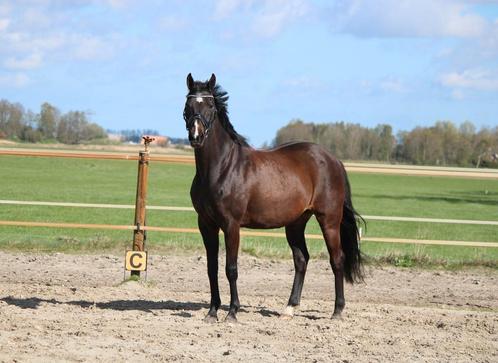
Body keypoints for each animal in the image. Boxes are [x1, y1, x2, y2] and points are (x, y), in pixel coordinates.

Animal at [183, 72, 362, 322]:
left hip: (329, 220)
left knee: (337, 260)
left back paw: (337, 311)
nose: (196, 136)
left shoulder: (231, 225)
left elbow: (231, 268)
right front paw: (212, 311)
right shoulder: (206, 224)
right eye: (188, 106)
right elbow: (212, 268)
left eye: (210, 106)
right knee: (301, 260)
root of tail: (333, 159)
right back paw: (290, 308)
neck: (221, 168)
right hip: (295, 223)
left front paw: (232, 312)